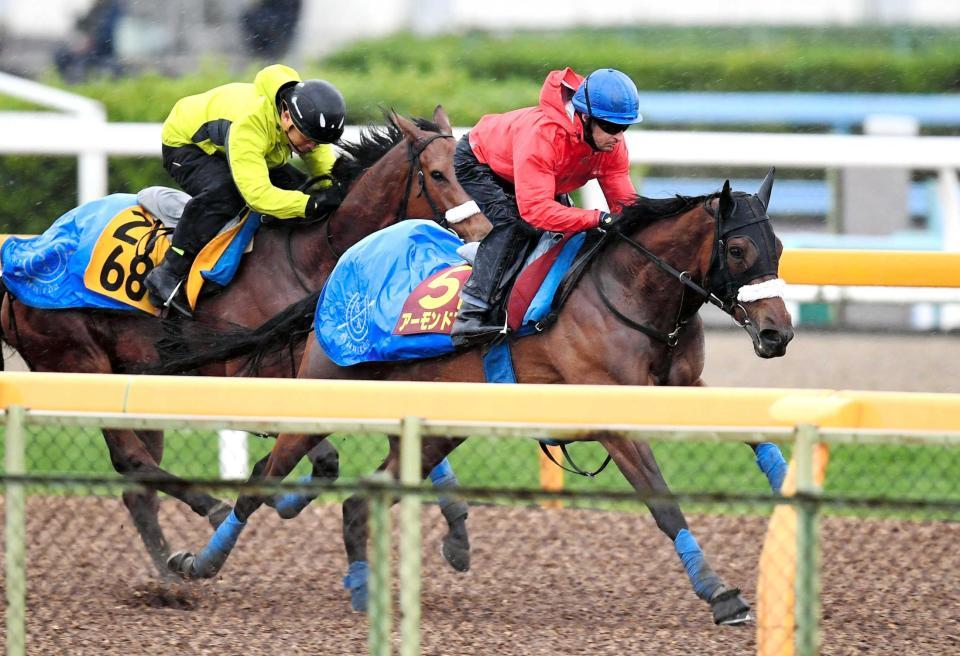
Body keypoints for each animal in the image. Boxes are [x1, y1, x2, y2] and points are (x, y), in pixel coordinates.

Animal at [0, 106, 491, 577]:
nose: (483, 233)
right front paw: (275, 498)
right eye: (439, 174)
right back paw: (210, 510)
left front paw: (457, 535)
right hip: (79, 360)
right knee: (131, 459)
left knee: (136, 483)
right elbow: (321, 461)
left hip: (134, 376)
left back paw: (169, 577)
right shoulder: (266, 380)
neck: (315, 256)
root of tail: (27, 253)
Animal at [163, 170, 794, 624]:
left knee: (361, 497)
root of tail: (340, 270)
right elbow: (663, 504)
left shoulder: (684, 388)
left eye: (781, 247)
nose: (777, 333)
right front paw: (719, 593)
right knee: (260, 481)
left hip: (435, 426)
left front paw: (791, 484)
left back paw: (364, 590)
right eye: (739, 250)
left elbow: (755, 437)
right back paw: (198, 562)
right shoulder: (612, 419)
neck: (628, 292)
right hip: (324, 392)